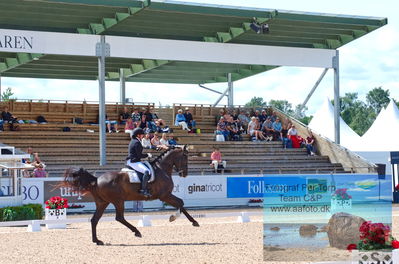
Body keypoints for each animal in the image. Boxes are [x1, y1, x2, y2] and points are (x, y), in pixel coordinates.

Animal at [63, 145, 200, 244]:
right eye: (185, 157)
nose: (184, 173)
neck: (162, 169)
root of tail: (96, 180)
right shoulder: (164, 195)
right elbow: (180, 203)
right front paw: (175, 218)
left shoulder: (166, 196)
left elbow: (181, 204)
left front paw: (192, 221)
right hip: (118, 201)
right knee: (119, 217)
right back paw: (137, 231)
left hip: (103, 202)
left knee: (95, 219)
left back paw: (97, 241)